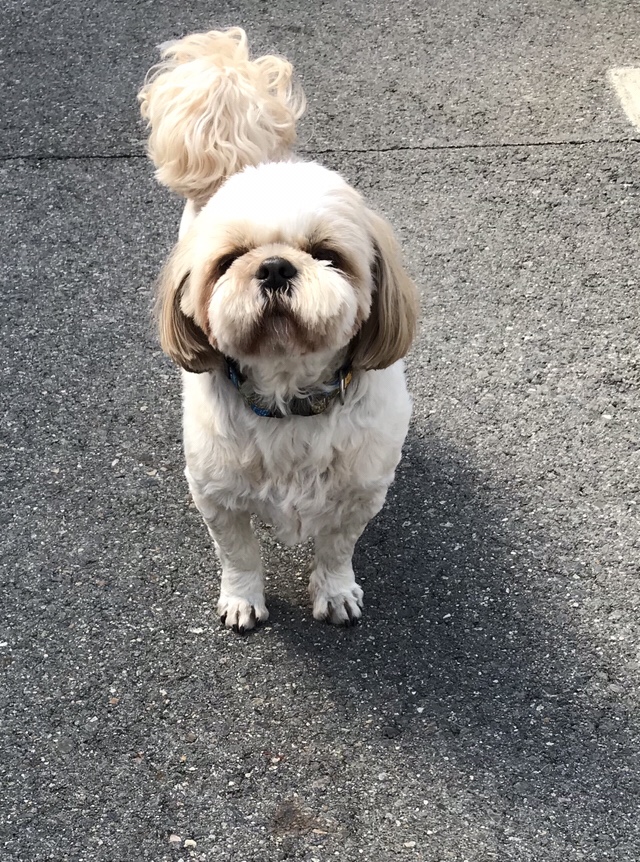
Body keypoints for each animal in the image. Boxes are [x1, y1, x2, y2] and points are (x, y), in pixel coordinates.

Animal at [139, 28, 420, 636]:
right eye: (229, 260)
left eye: (327, 255)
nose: (272, 267)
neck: (290, 399)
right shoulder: (217, 497)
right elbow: (239, 555)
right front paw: (242, 600)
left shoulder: (359, 494)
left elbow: (336, 550)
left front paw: (335, 593)